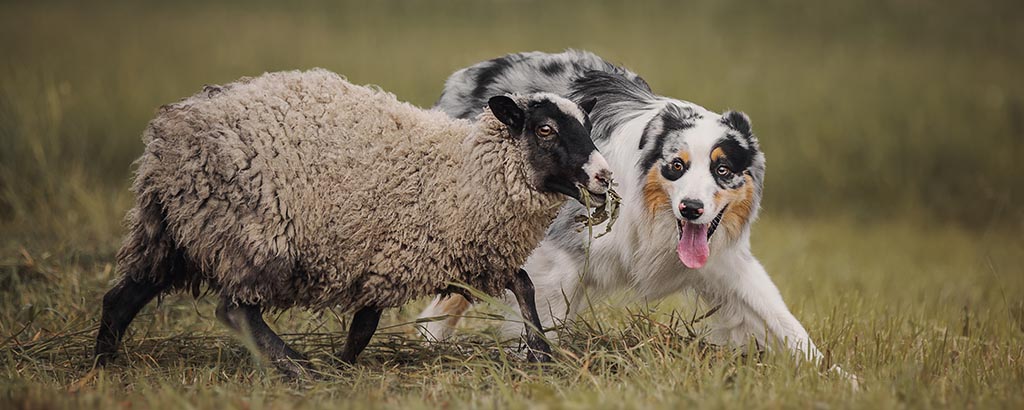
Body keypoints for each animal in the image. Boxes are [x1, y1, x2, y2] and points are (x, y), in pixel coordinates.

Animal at [94, 68, 606, 377]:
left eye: (587, 126)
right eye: (545, 130)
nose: (604, 176)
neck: (462, 171)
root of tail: (169, 137)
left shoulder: (451, 254)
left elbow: (522, 284)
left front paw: (540, 351)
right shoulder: (402, 253)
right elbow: (366, 324)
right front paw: (340, 368)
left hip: (172, 234)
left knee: (120, 299)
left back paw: (102, 365)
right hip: (251, 234)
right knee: (236, 310)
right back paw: (297, 366)